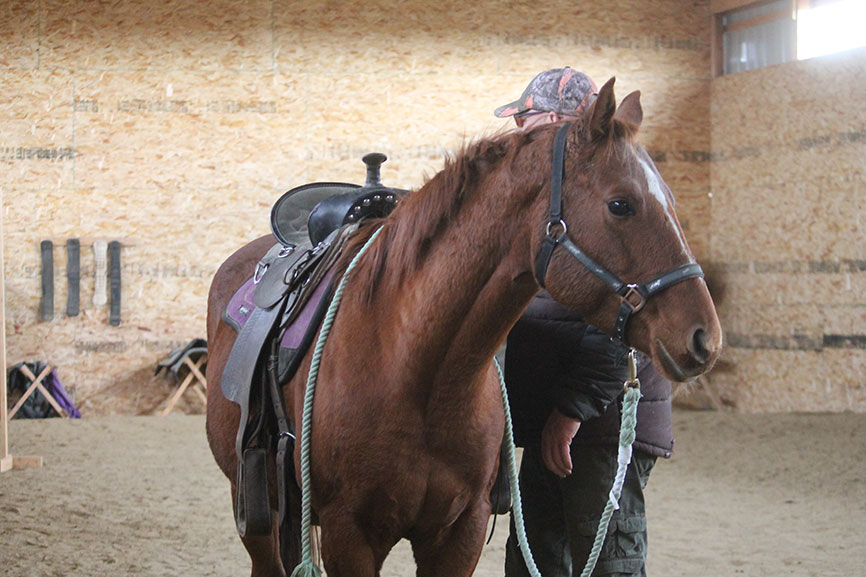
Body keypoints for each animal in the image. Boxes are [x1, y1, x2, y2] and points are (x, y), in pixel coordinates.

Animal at [206, 79, 720, 576]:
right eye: (620, 204)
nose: (705, 337)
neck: (413, 369)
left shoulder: (461, 531)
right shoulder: (347, 534)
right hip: (255, 512)